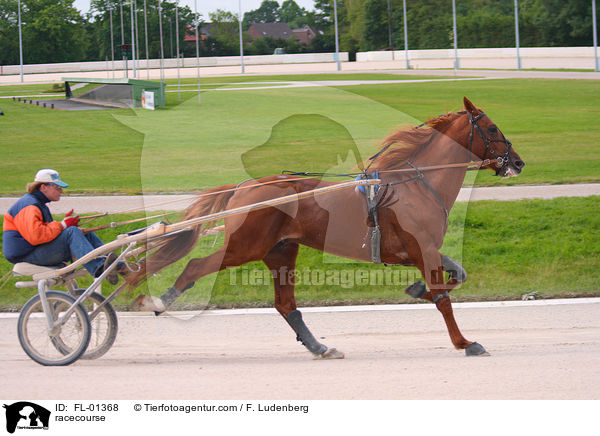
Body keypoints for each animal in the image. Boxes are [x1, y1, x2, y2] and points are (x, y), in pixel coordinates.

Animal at [130, 98, 520, 358]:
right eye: (491, 128)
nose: (517, 162)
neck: (416, 185)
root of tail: (244, 187)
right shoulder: (421, 248)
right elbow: (442, 298)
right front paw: (465, 342)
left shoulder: (418, 250)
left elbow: (458, 276)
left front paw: (416, 290)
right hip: (245, 246)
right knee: (197, 266)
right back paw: (158, 301)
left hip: (280, 250)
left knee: (286, 305)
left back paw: (319, 346)